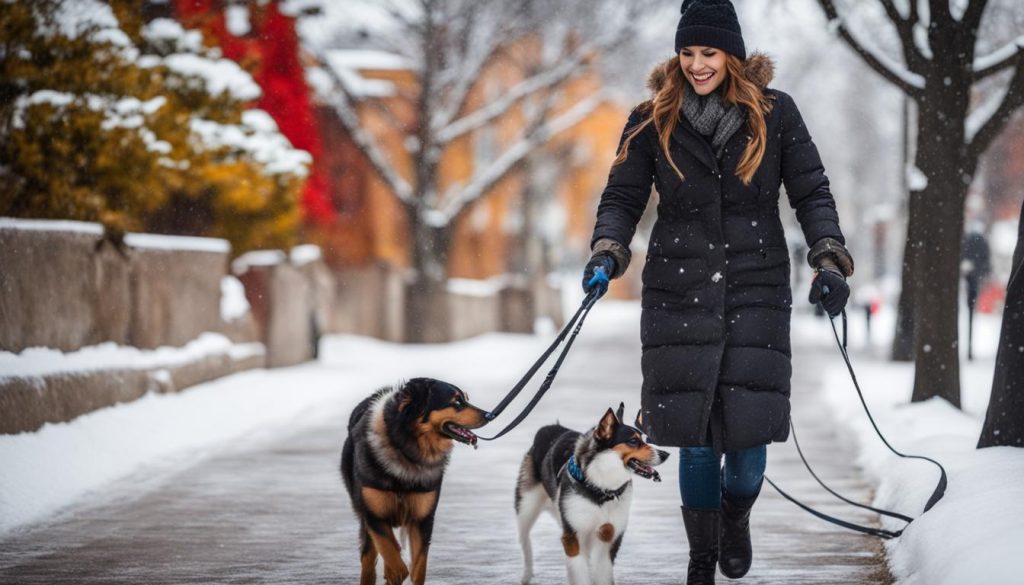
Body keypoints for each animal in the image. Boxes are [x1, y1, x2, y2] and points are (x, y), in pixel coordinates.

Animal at [339, 377, 487, 585]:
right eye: (457, 402)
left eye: (465, 399)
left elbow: (418, 567)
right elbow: (391, 554)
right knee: (369, 560)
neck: (407, 449)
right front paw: (394, 573)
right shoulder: (374, 516)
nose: (489, 415)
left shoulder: (422, 519)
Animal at [512, 403, 671, 585]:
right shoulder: (573, 535)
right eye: (633, 441)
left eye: (644, 439)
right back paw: (526, 574)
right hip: (526, 506)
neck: (602, 488)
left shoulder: (610, 534)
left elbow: (602, 573)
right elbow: (580, 573)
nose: (666, 454)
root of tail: (551, 428)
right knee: (525, 540)